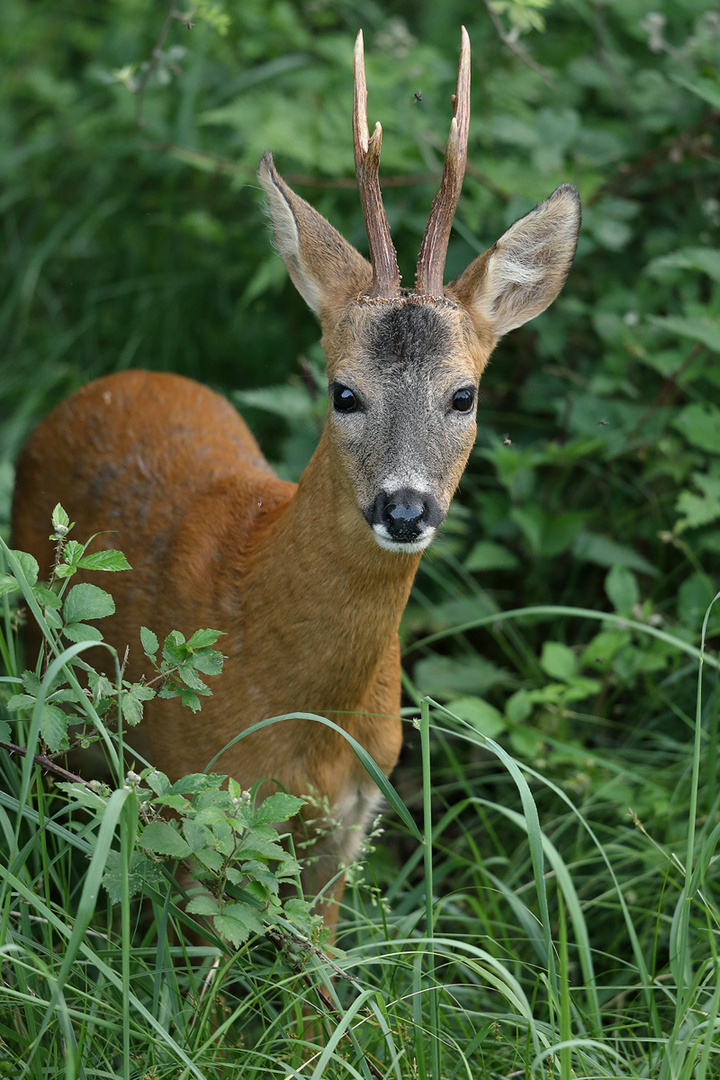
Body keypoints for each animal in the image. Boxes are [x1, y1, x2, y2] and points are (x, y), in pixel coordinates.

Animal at [12, 31, 578, 928]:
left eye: (465, 394)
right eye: (343, 392)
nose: (405, 507)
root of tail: (110, 381)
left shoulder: (351, 822)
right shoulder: (197, 802)